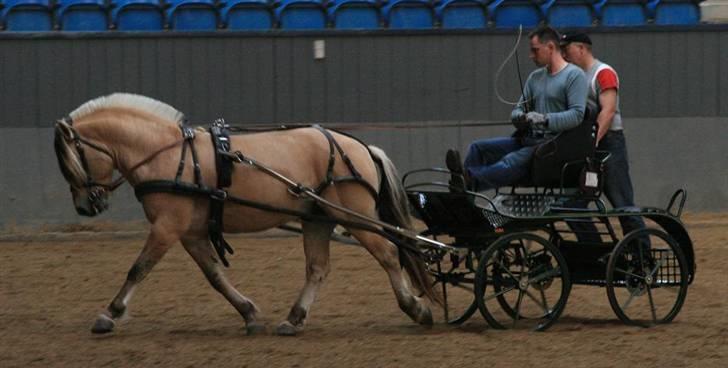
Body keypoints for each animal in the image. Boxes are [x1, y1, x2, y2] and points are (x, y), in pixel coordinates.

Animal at [52, 92, 438, 336]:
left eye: (72, 161)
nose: (86, 206)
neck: (168, 154)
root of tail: (359, 147)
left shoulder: (167, 227)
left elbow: (139, 269)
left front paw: (109, 315)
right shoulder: (190, 232)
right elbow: (215, 276)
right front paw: (250, 314)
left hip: (354, 217)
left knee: (389, 254)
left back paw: (416, 308)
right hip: (318, 218)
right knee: (318, 268)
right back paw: (294, 320)